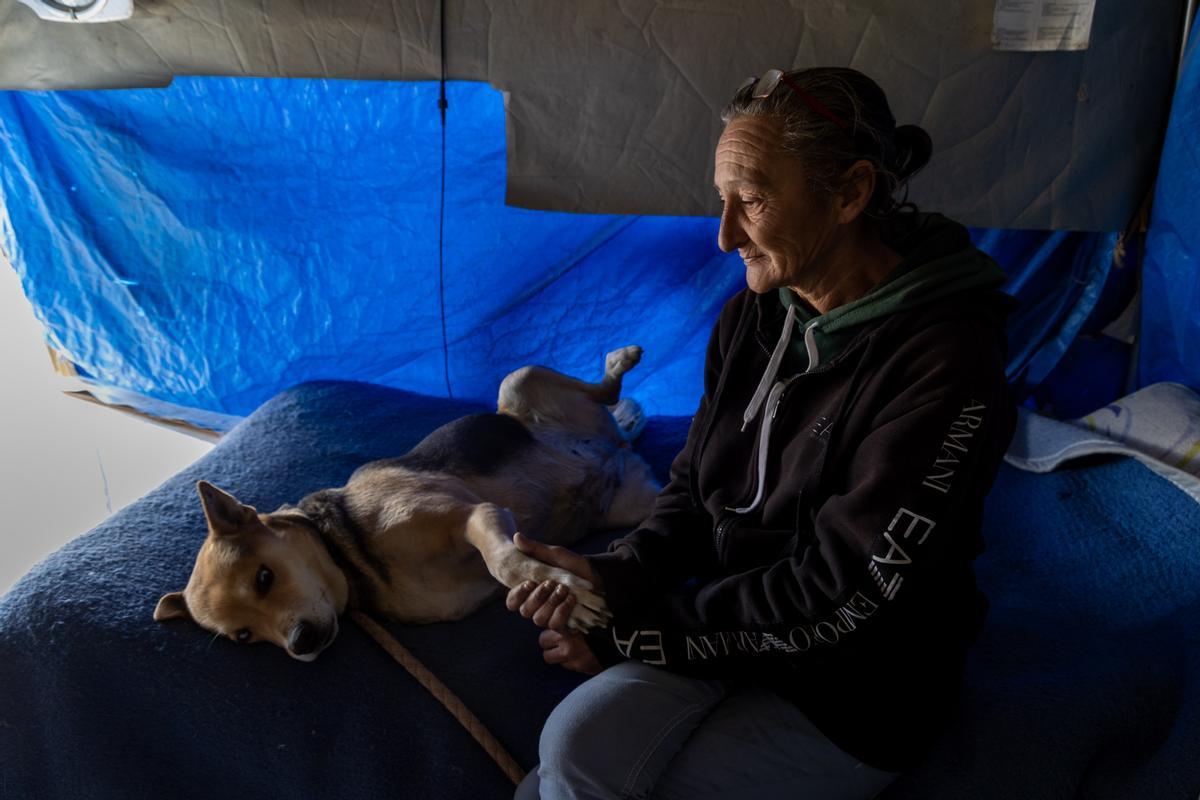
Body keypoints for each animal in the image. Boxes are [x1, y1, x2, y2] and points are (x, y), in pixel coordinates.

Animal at [154, 347, 662, 662]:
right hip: (635, 504)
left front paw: (566, 595)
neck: (351, 554)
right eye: (244, 636)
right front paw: (556, 597)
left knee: (605, 391)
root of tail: (611, 446)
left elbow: (506, 563)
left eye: (264, 578)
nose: (300, 645)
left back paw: (619, 361)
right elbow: (507, 571)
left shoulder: (477, 515)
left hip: (517, 382)